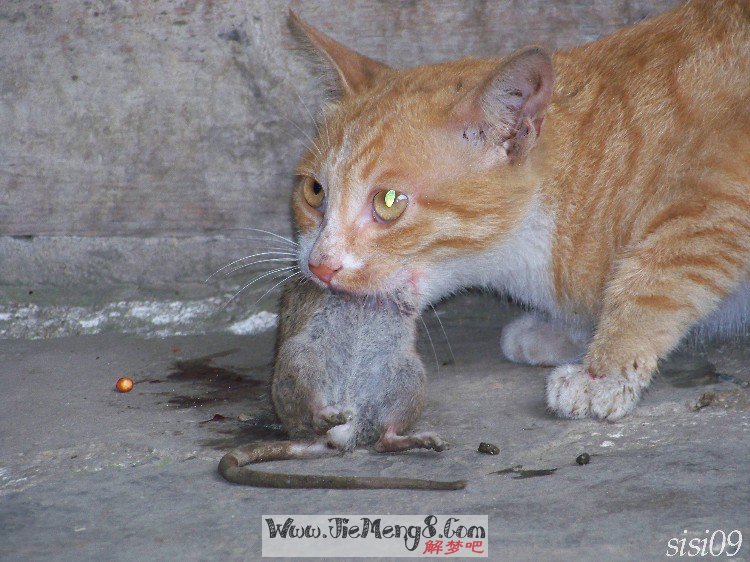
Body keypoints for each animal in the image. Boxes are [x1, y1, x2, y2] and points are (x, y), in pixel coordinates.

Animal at [288, 0, 750, 418]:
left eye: (389, 202)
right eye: (314, 190)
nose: (319, 265)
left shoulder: (721, 198)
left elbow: (656, 277)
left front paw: (605, 370)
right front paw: (567, 331)